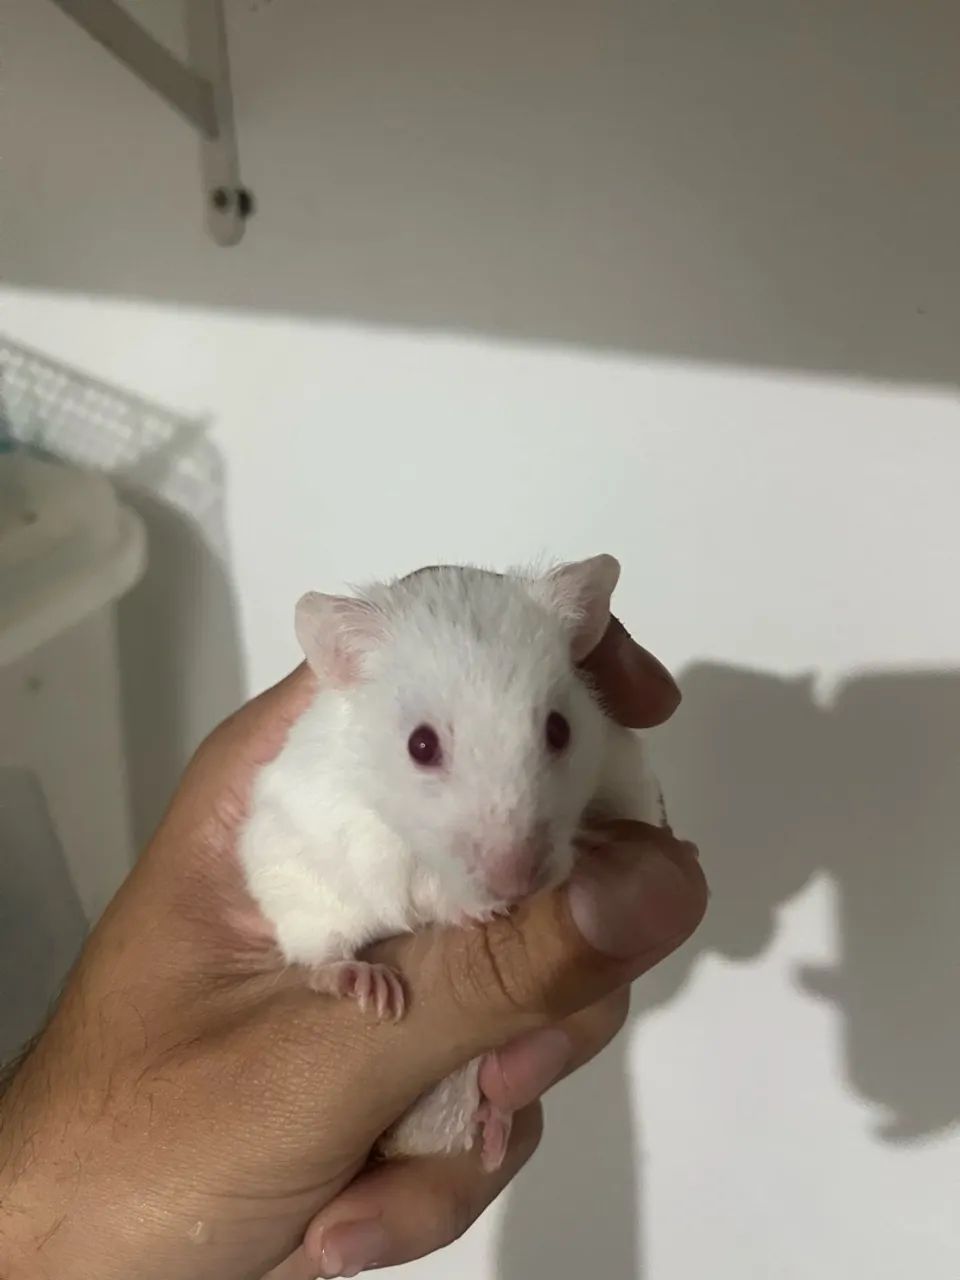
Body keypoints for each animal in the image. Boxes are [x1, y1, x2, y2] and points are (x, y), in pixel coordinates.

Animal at [239, 555, 662, 1169]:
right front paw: (474, 914)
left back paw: (494, 1128)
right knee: (317, 955)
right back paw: (366, 984)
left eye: (560, 729)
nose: (517, 884)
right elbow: (416, 887)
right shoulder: (365, 839)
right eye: (420, 745)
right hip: (295, 890)